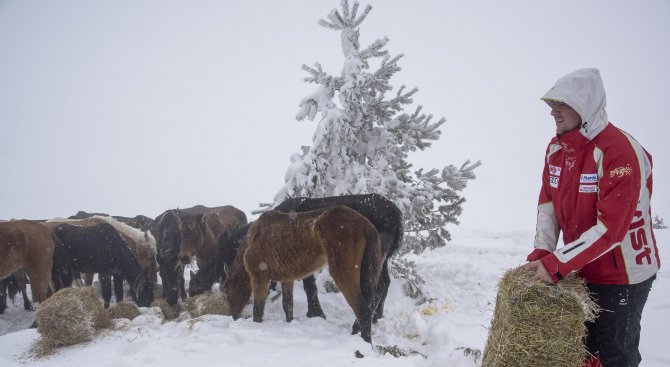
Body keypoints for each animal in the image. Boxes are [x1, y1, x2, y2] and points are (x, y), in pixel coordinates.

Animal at [224, 206, 386, 344]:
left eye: (227, 291)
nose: (232, 316)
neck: (253, 239)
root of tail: (365, 224)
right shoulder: (287, 279)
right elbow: (287, 306)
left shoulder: (259, 278)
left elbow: (258, 310)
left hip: (343, 273)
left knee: (363, 311)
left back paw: (365, 343)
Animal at [274, 193, 404, 322]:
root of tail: (396, 214)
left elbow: (309, 286)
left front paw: (315, 313)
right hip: (382, 259)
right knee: (385, 283)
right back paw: (377, 316)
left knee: (377, 285)